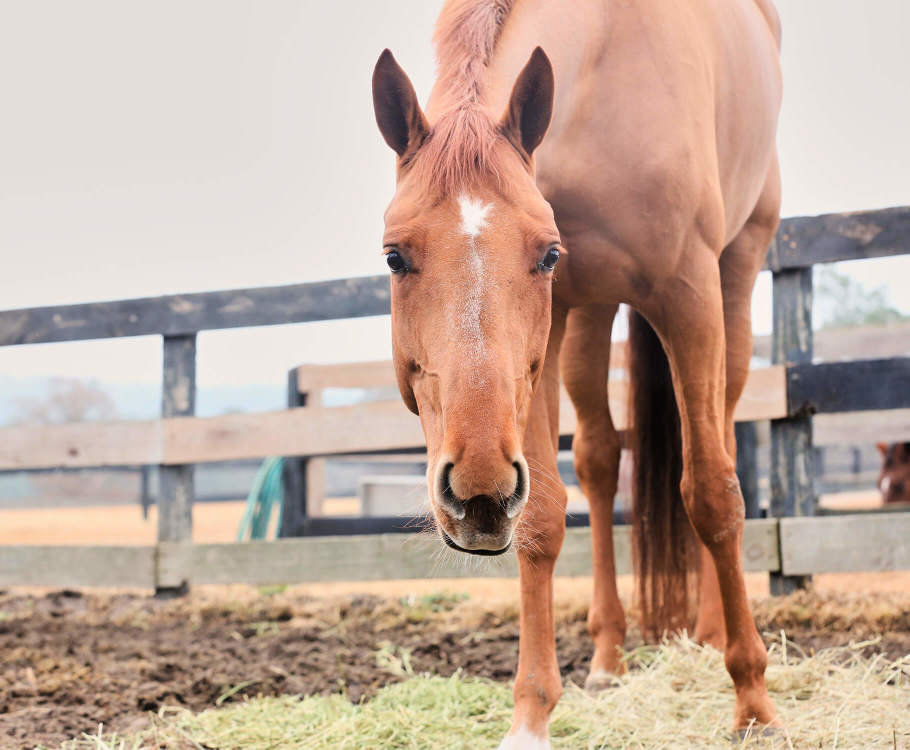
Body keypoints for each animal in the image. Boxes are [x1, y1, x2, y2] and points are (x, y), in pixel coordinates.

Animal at [374, 0, 788, 748]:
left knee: (722, 441)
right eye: (395, 256)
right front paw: (532, 714)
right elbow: (542, 518)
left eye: (545, 253)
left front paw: (754, 703)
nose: (477, 493)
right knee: (598, 460)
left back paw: (713, 634)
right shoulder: (556, 321)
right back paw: (608, 656)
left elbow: (713, 494)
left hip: (736, 277)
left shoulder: (689, 296)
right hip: (591, 317)